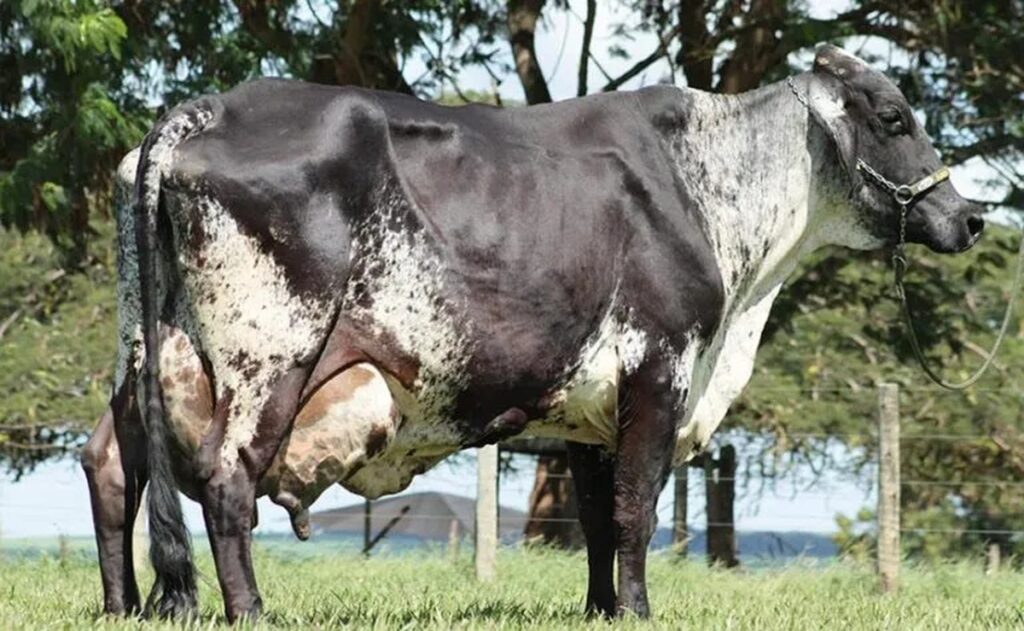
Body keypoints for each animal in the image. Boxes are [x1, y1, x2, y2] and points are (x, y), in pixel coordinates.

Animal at [81, 44, 983, 622]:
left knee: (114, 464)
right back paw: (253, 610)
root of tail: (212, 106)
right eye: (893, 116)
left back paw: (122, 606)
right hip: (270, 355)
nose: (970, 216)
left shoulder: (591, 409)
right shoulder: (659, 369)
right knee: (227, 477)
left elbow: (597, 518)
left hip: (142, 353)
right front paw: (640, 610)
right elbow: (635, 511)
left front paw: (602, 609)